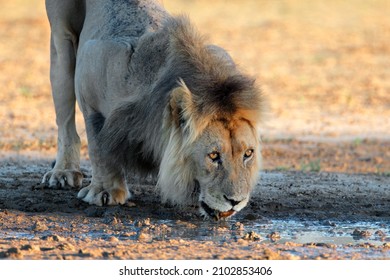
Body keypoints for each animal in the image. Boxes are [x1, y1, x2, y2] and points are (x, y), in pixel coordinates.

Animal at [42, 0, 264, 221]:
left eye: (248, 153)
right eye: (213, 155)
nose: (236, 201)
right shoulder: (90, 73)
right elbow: (99, 146)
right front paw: (105, 191)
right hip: (62, 38)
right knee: (65, 116)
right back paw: (63, 172)